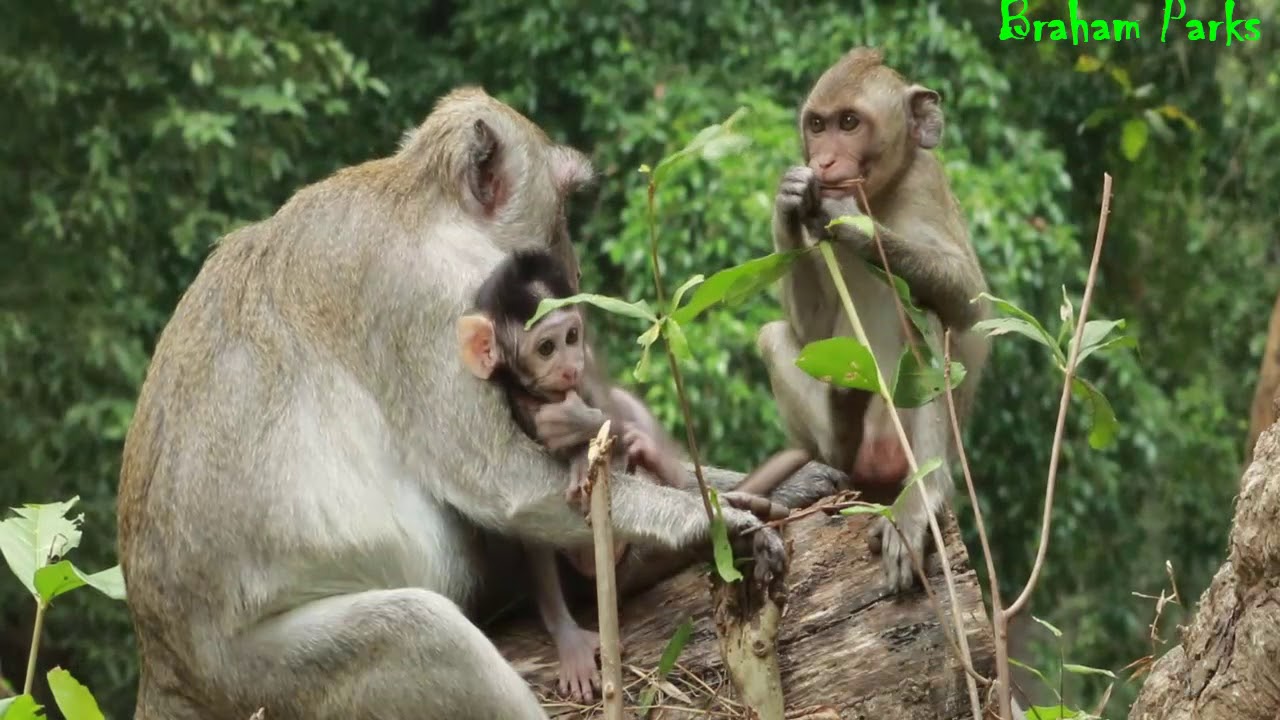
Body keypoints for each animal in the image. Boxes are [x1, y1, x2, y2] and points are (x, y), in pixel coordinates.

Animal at [456, 247, 687, 701]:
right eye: (547, 347)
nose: (570, 365)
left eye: (572, 337)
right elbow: (532, 527)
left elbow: (607, 417)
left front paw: (581, 432)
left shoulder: (590, 377)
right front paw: (568, 638)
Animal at [750, 47, 991, 593]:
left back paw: (923, 496)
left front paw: (853, 221)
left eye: (850, 123)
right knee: (774, 336)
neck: (880, 193)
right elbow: (812, 333)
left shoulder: (926, 185)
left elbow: (970, 304)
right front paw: (789, 197)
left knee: (928, 320)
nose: (823, 161)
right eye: (818, 125)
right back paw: (841, 430)